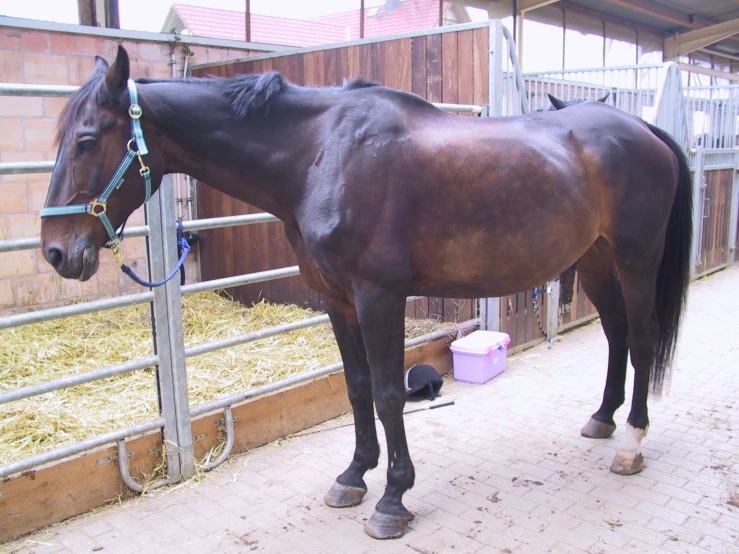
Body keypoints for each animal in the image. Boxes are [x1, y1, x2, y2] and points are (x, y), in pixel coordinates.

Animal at [39, 45, 692, 536]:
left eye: (88, 139)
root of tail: (642, 128)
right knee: (616, 336)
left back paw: (631, 441)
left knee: (641, 340)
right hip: (596, 262)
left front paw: (393, 499)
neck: (321, 155)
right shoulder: (337, 299)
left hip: (635, 263)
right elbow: (354, 389)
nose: (56, 252)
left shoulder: (380, 297)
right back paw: (603, 418)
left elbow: (387, 393)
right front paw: (355, 475)